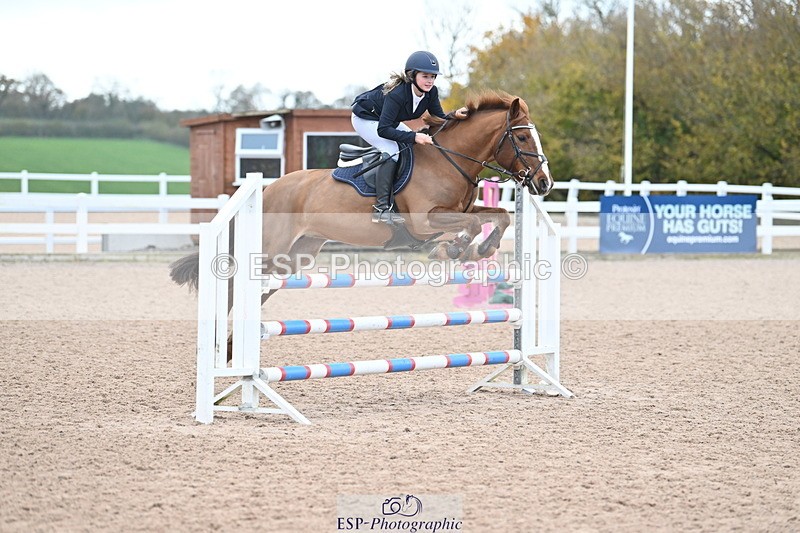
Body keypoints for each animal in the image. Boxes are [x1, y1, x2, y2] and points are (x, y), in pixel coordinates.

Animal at [170, 90, 553, 305]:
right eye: (521, 139)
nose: (544, 183)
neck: (448, 159)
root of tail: (268, 189)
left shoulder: (461, 208)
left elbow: (498, 215)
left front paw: (480, 249)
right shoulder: (424, 220)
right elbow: (472, 223)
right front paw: (454, 249)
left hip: (294, 257)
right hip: (270, 250)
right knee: (237, 281)